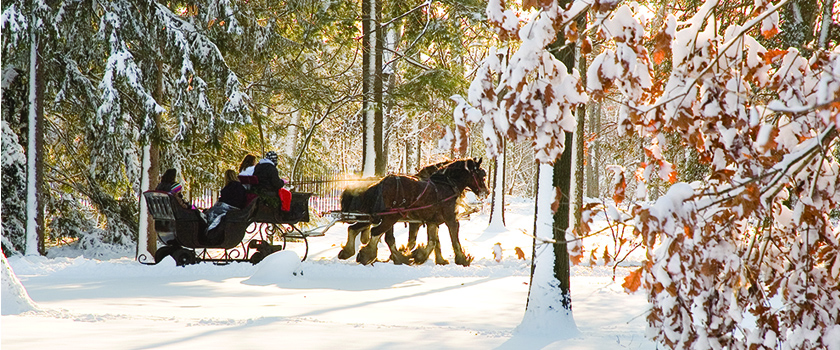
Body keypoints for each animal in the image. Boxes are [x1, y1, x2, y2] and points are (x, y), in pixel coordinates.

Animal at [342, 158, 486, 266]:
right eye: (482, 176)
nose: (487, 192)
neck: (446, 185)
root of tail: (381, 183)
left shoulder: (432, 221)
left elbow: (433, 241)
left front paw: (421, 256)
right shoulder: (451, 219)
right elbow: (454, 240)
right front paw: (462, 259)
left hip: (375, 217)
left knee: (354, 229)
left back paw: (349, 252)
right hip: (390, 217)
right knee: (376, 232)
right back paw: (370, 255)